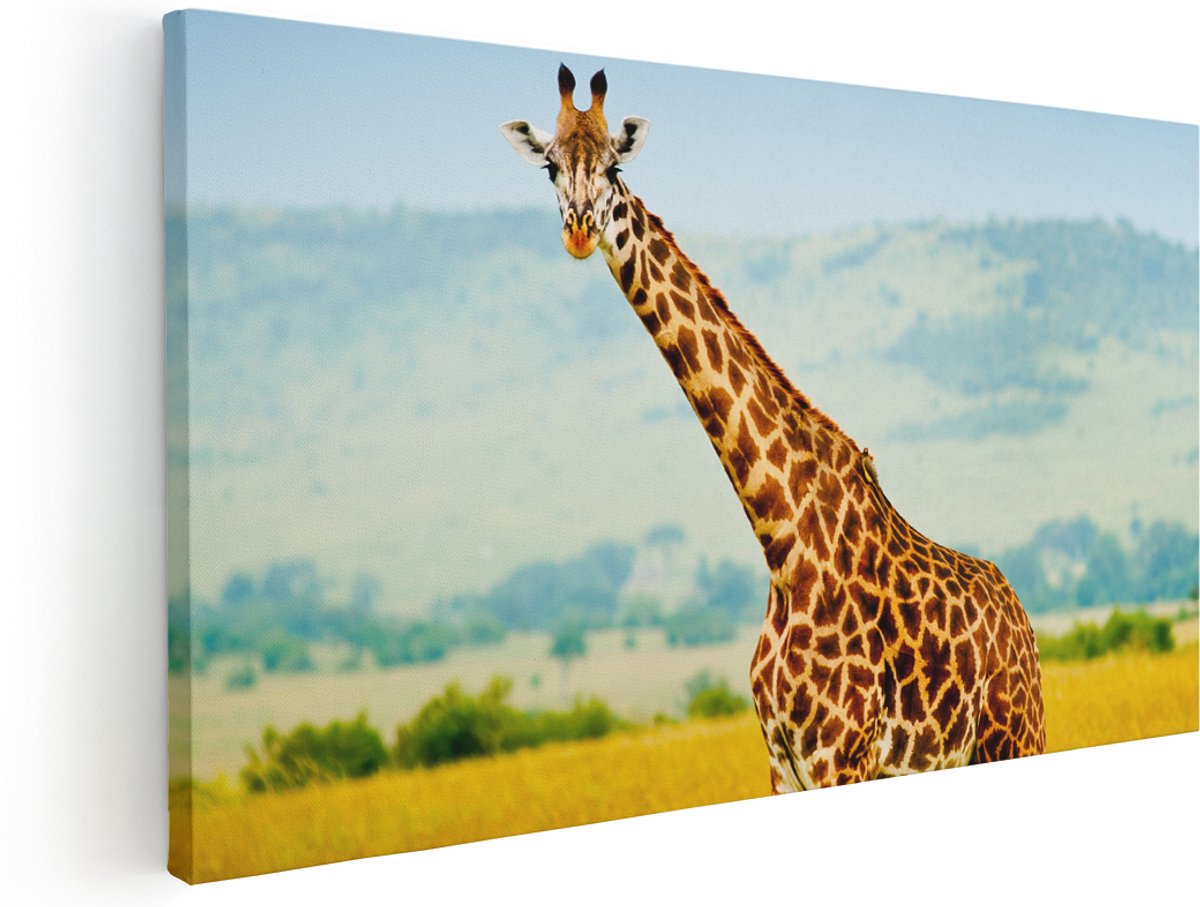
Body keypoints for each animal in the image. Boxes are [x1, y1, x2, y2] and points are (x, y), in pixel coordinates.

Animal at [501, 65, 1045, 792]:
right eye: (551, 167)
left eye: (614, 165)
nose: (581, 232)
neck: (781, 539)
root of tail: (1026, 624)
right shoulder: (782, 762)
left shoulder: (840, 756)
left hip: (1014, 737)